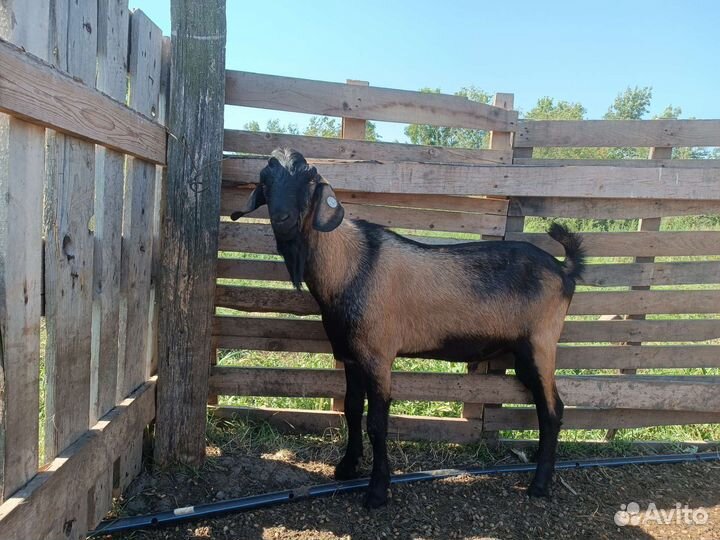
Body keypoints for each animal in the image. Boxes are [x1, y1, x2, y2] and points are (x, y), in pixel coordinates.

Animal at [231, 148, 586, 508]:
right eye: (265, 180)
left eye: (309, 181)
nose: (283, 219)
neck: (349, 266)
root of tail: (564, 270)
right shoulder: (351, 356)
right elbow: (351, 409)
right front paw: (347, 467)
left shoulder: (378, 356)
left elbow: (377, 423)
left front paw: (377, 491)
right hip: (522, 352)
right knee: (546, 406)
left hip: (541, 343)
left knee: (553, 409)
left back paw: (540, 484)